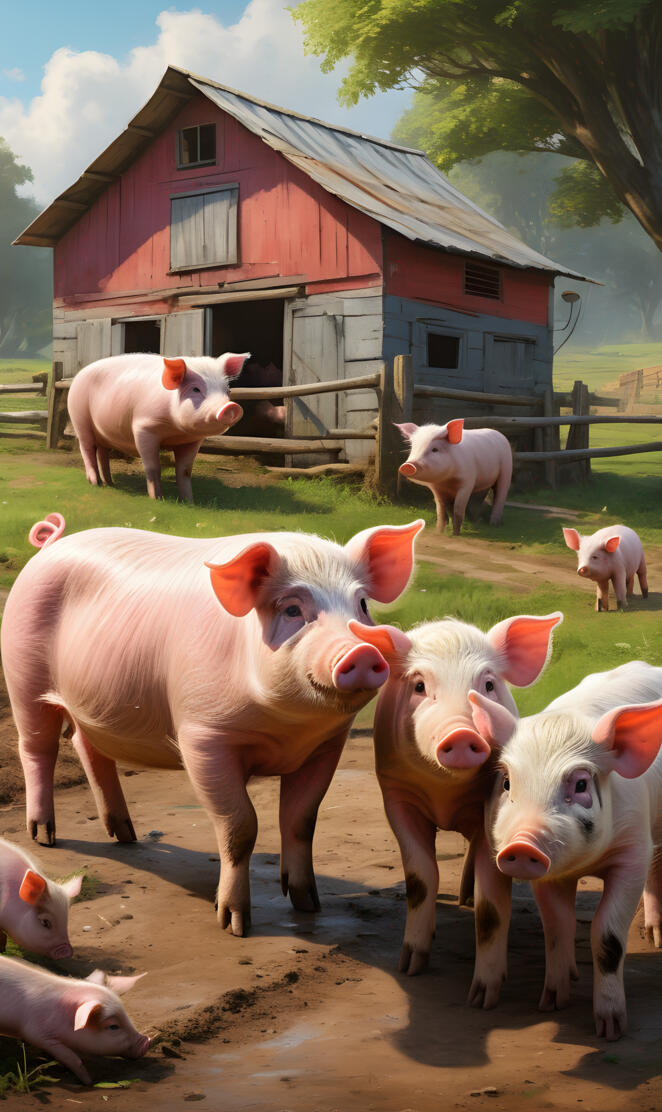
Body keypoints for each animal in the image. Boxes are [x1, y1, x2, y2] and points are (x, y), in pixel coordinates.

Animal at [1, 514, 424, 937]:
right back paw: (44, 835)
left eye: (362, 605)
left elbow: (302, 820)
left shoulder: (326, 745)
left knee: (88, 747)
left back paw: (126, 835)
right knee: (37, 749)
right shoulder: (204, 735)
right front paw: (235, 925)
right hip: (23, 675)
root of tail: (50, 547)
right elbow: (240, 826)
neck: (287, 729)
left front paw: (309, 906)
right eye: (291, 610)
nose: (363, 650)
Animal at [67, 351, 249, 502]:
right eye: (196, 389)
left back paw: (109, 483)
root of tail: (79, 374)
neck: (175, 431)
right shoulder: (144, 428)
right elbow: (153, 467)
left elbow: (184, 471)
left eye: (227, 390)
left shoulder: (192, 440)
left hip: (103, 433)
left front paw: (189, 501)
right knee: (87, 449)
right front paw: (158, 499)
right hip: (79, 418)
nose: (232, 407)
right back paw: (95, 483)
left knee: (103, 453)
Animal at [348, 610, 562, 1002]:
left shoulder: (491, 806)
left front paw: (482, 997)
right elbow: (420, 879)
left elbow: (491, 905)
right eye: (419, 686)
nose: (462, 733)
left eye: (488, 685)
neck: (443, 790)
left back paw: (467, 898)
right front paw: (410, 966)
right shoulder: (396, 796)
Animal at [479, 661, 662, 1039]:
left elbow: (607, 934)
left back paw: (656, 939)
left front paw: (610, 1029)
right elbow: (557, 927)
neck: (584, 865)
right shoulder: (547, 874)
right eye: (507, 783)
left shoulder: (632, 851)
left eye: (580, 784)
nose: (522, 843)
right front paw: (551, 1003)